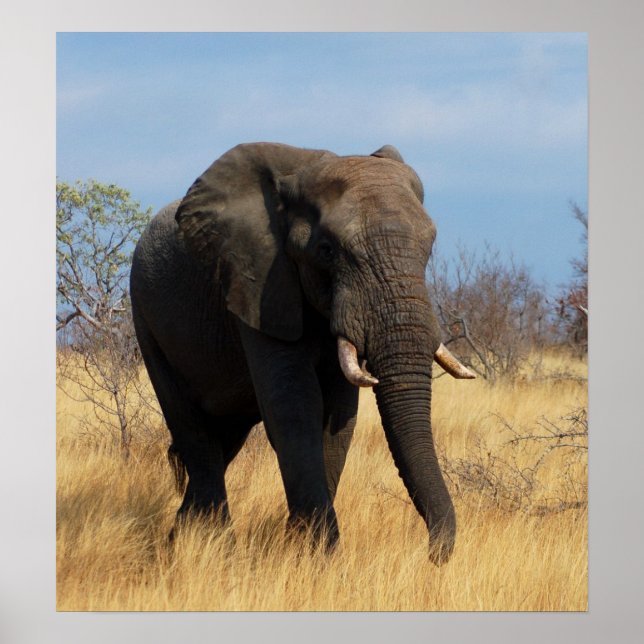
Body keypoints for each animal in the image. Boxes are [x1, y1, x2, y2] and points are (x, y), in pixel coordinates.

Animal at [130, 142, 475, 565]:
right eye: (326, 251)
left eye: (428, 248)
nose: (431, 556)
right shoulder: (258, 282)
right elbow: (295, 408)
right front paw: (321, 557)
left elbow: (338, 417)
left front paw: (300, 551)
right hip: (146, 318)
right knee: (194, 431)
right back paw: (216, 548)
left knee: (222, 441)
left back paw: (179, 543)